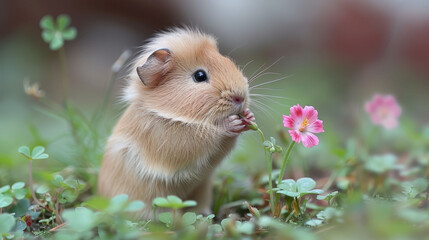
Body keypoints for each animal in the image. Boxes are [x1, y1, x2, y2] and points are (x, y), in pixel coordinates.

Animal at [97, 28, 254, 219]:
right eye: (199, 76)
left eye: (228, 61)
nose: (241, 97)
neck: (174, 115)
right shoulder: (170, 139)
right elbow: (209, 136)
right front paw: (232, 123)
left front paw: (249, 117)